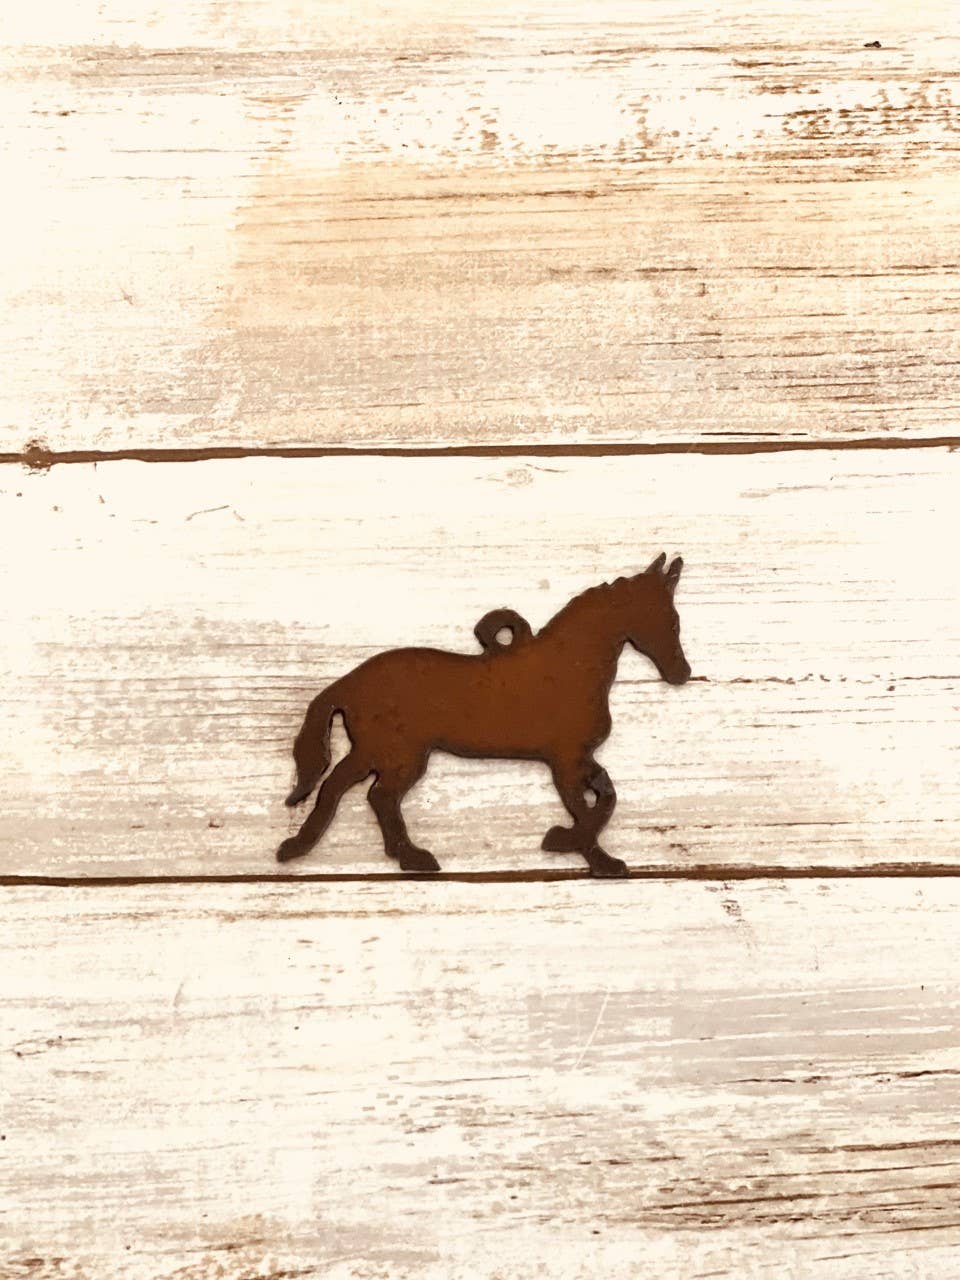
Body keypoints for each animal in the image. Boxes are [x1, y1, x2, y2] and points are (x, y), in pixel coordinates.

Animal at [278, 553, 691, 877]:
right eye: (671, 621)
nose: (681, 674)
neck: (569, 667)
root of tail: (351, 681)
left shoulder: (577, 758)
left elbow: (604, 796)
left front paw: (575, 846)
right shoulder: (566, 758)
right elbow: (590, 805)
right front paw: (580, 850)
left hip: (383, 754)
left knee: (362, 792)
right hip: (394, 754)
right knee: (361, 791)